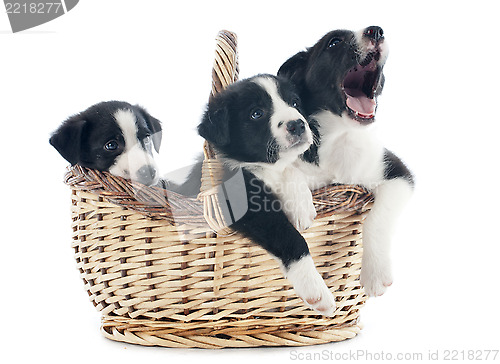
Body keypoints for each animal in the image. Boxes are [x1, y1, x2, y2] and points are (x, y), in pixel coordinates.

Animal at [198, 74, 336, 316]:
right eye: (256, 113)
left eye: (294, 102)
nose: (297, 124)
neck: (265, 167)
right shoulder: (245, 208)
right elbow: (292, 238)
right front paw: (316, 289)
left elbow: (292, 169)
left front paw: (301, 209)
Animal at [278, 26, 414, 298]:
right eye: (334, 42)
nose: (376, 31)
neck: (341, 135)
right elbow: (288, 169)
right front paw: (300, 207)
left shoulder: (398, 172)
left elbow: (377, 218)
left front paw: (375, 274)